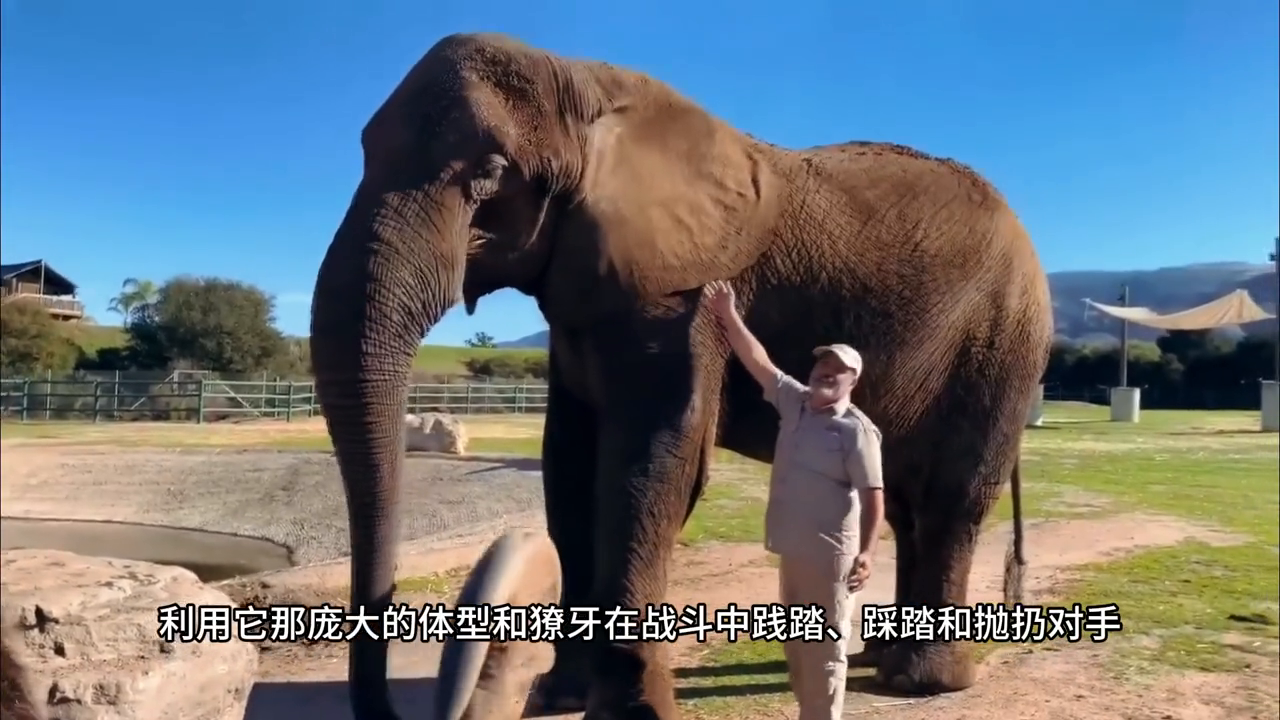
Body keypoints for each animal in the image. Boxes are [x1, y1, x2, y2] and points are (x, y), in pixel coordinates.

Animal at [309, 31, 1050, 720]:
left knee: (949, 500)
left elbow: (652, 463)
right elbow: (569, 467)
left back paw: (921, 682)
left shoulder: (678, 295)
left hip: (1001, 344)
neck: (583, 86)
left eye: (491, 174)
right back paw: (885, 660)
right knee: (898, 501)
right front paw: (559, 696)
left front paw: (630, 711)